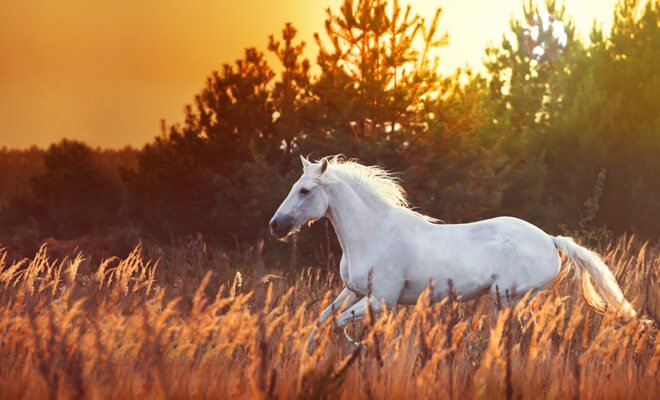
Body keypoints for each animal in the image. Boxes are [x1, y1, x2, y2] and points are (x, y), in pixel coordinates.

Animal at [268, 155, 636, 348]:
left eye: (304, 190)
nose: (276, 226)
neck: (374, 233)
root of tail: (549, 239)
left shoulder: (381, 300)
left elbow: (340, 322)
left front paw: (356, 346)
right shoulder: (353, 290)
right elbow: (322, 319)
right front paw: (309, 355)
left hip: (509, 297)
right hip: (506, 302)